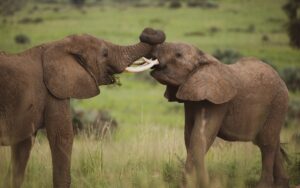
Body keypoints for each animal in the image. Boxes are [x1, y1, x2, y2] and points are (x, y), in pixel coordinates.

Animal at [0, 27, 165, 188]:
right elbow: (62, 137)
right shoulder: (54, 92)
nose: (150, 31)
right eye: (105, 53)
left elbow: (23, 148)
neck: (58, 45)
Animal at [129, 43, 290, 188]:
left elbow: (200, 136)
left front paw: (201, 184)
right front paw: (190, 183)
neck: (203, 57)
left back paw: (264, 185)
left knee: (267, 143)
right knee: (272, 142)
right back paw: (282, 184)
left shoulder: (215, 101)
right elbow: (189, 137)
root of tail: (280, 78)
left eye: (178, 55)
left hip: (278, 103)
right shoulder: (191, 97)